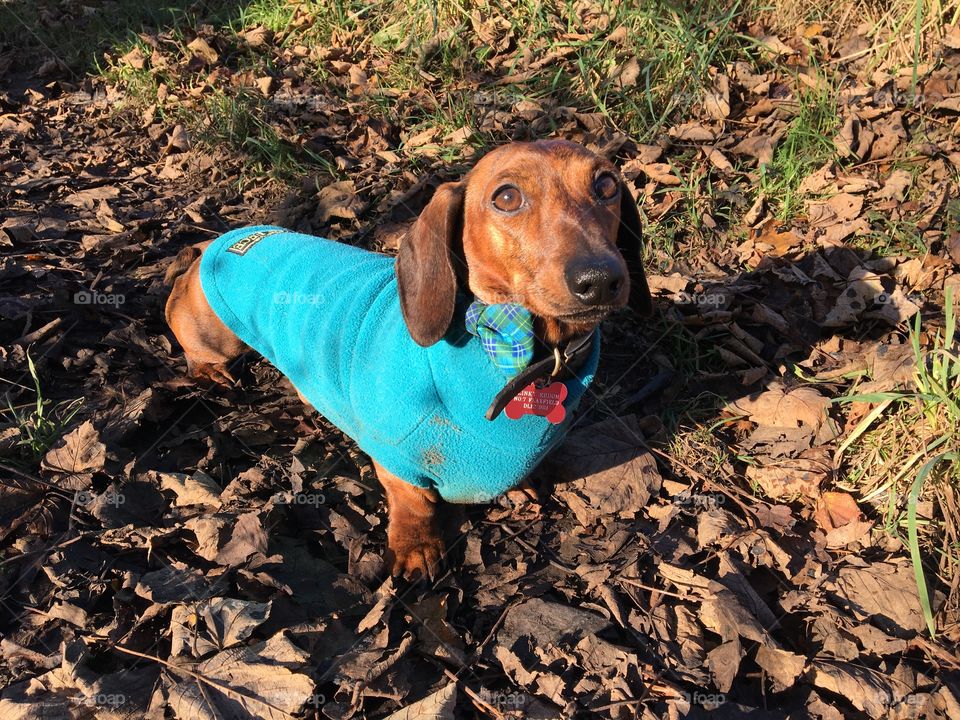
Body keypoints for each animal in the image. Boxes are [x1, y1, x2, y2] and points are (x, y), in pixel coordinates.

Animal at [165, 139, 652, 580]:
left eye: (606, 184)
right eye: (507, 197)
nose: (600, 279)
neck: (509, 350)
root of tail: (216, 243)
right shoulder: (394, 453)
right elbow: (413, 500)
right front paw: (417, 546)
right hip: (215, 332)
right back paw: (210, 370)